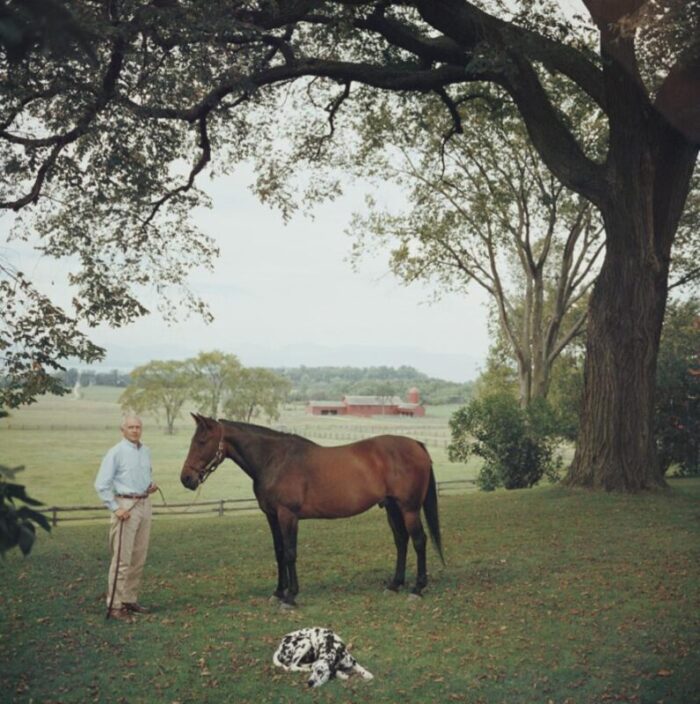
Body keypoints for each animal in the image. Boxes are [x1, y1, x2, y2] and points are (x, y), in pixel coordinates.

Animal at [180, 412, 442, 604]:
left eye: (202, 441)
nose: (186, 479)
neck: (275, 460)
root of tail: (416, 444)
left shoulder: (288, 515)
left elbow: (290, 553)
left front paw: (291, 596)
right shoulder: (272, 516)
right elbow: (279, 552)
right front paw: (278, 592)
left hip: (409, 508)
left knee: (419, 541)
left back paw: (417, 589)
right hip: (392, 507)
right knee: (401, 540)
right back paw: (394, 585)